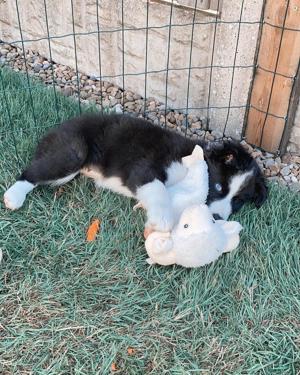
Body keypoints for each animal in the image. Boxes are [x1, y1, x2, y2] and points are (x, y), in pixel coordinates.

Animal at [3, 113, 268, 231]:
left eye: (239, 202)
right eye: (217, 186)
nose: (216, 218)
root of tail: (57, 128)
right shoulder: (145, 169)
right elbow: (159, 189)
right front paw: (161, 219)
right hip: (72, 153)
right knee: (31, 172)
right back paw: (14, 196)